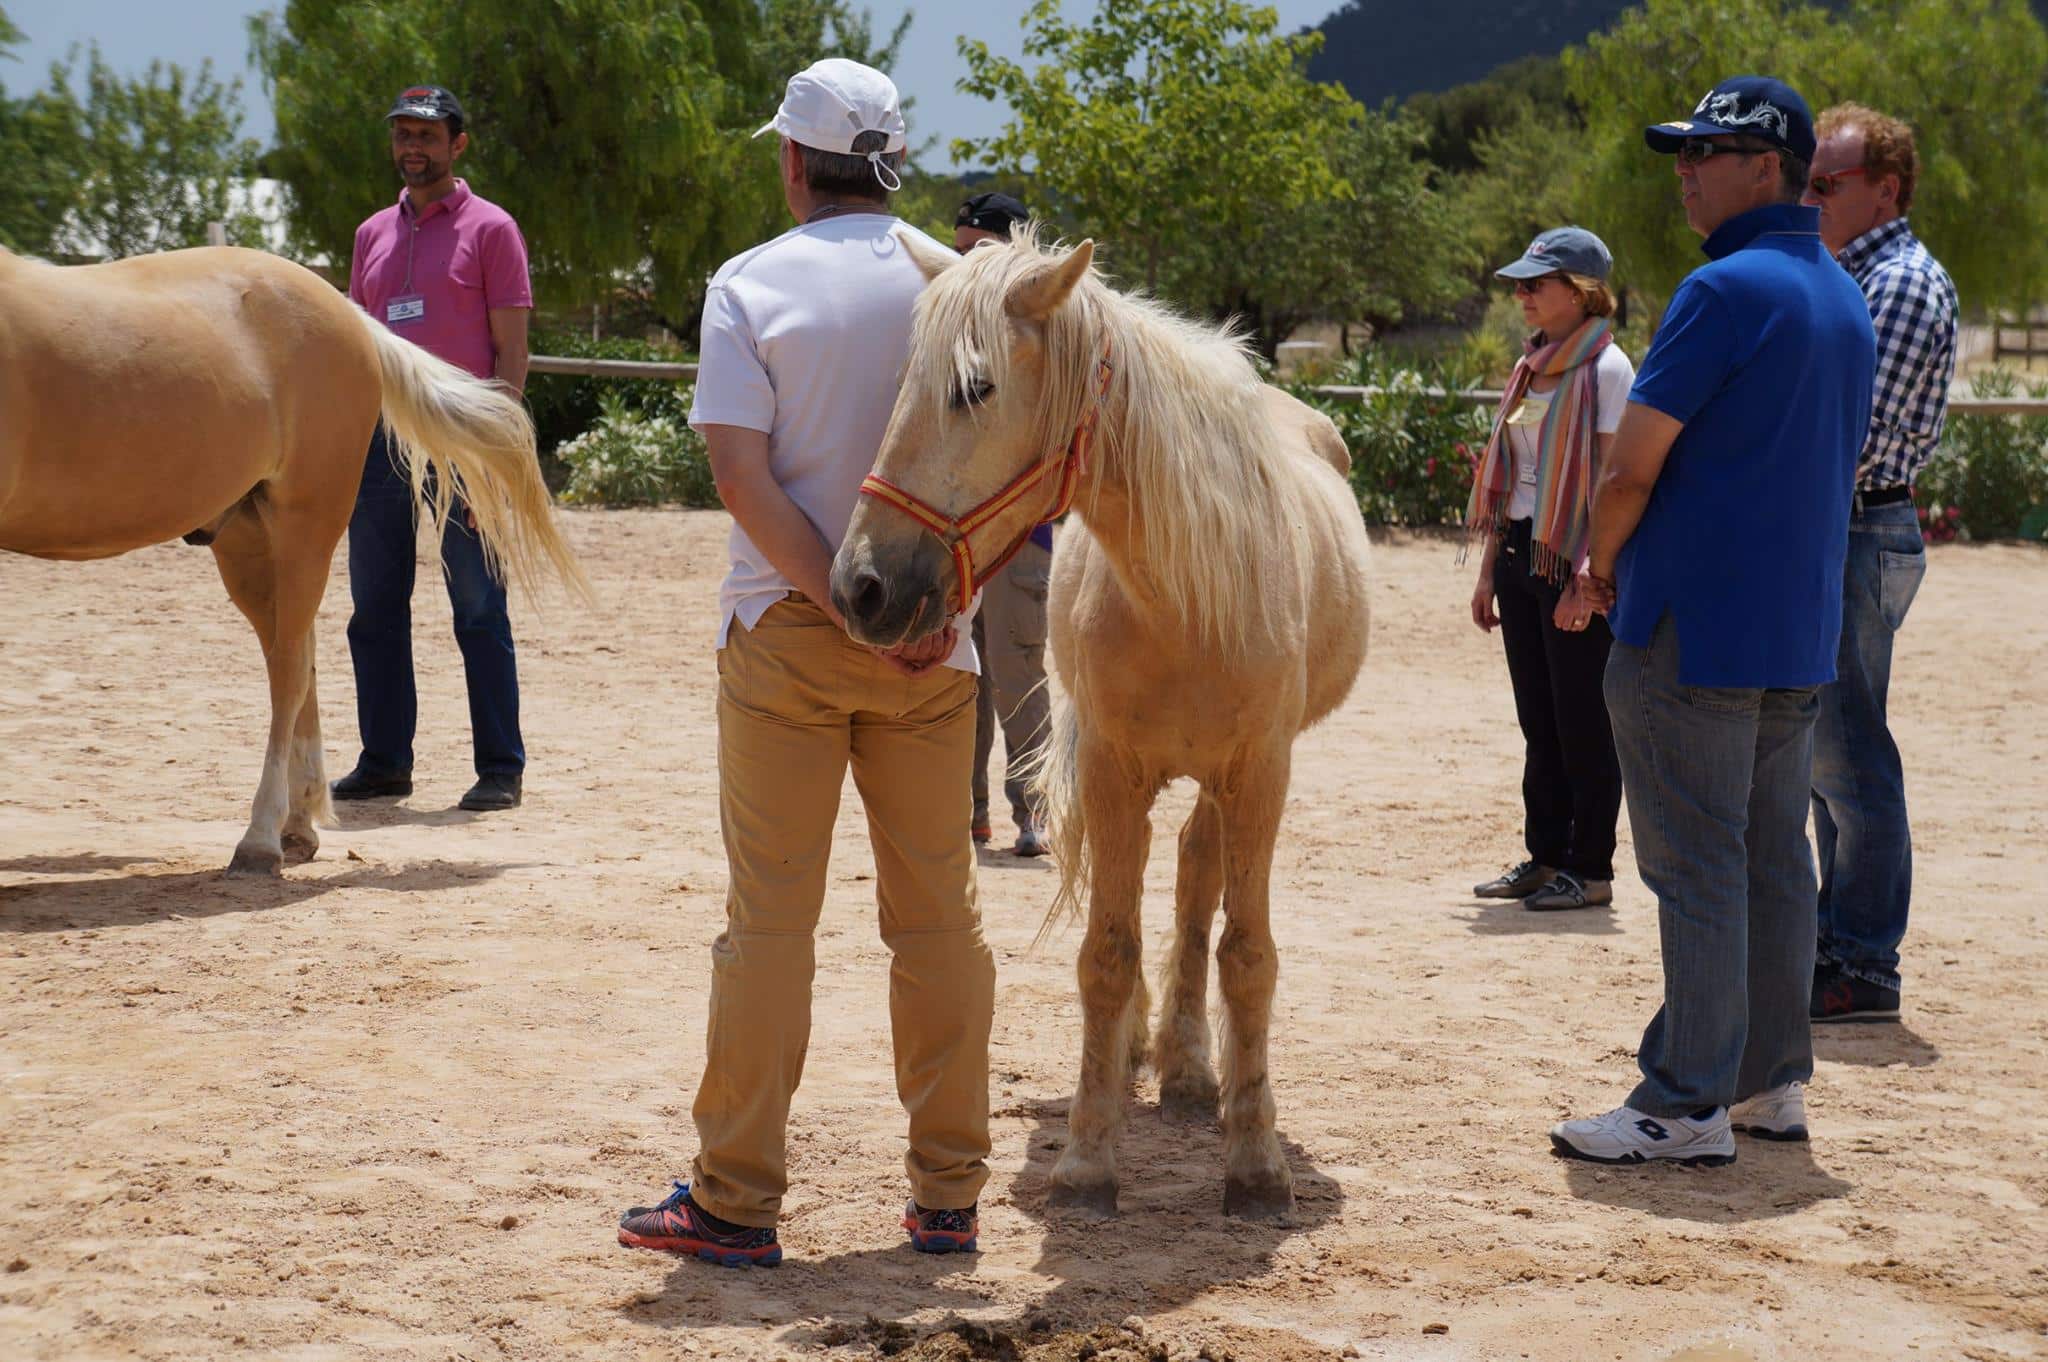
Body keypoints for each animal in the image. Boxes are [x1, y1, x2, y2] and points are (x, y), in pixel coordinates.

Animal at [0, 245, 587, 875]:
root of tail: (351, 317)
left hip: (305, 526)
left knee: (288, 669)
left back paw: (261, 838)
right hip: (247, 543)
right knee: (297, 658)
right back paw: (298, 826)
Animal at [828, 227, 1371, 1218]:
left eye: (975, 388)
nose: (861, 588)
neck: (1182, 593)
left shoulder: (1259, 772)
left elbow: (1247, 954)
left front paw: (1255, 1160)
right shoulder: (1116, 769)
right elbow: (1107, 954)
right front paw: (1088, 1157)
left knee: (1196, 880)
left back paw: (1192, 1067)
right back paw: (1145, 1054)